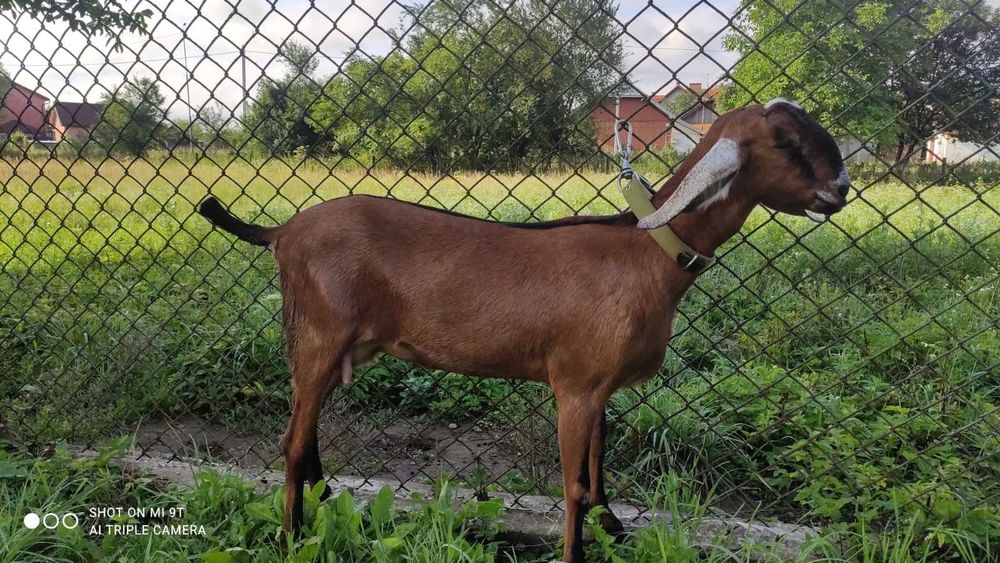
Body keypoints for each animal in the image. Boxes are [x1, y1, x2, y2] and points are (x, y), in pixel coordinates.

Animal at [198, 100, 850, 562]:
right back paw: (292, 539)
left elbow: (599, 465)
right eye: (786, 143)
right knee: (291, 441)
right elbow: (574, 487)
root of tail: (282, 231)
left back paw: (327, 512)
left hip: (341, 349)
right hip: (315, 338)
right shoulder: (575, 386)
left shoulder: (598, 386)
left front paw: (613, 530)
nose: (840, 189)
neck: (647, 254)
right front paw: (578, 550)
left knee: (307, 439)